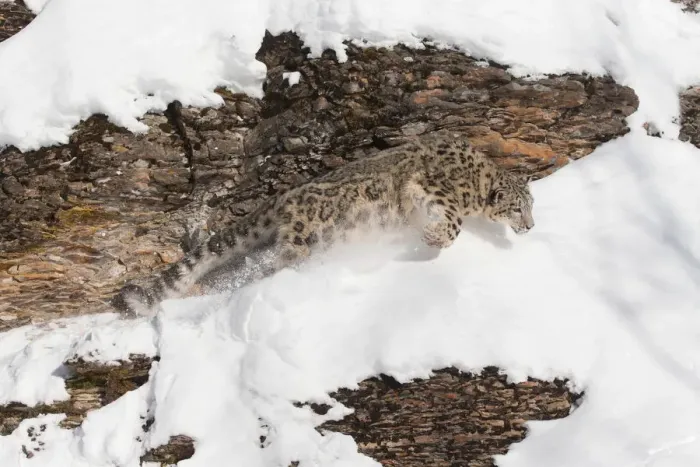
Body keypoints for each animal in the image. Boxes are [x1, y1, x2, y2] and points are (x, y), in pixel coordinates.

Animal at [111, 133, 535, 316]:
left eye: (532, 206)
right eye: (518, 209)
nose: (531, 226)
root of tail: (282, 199)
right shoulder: (435, 191)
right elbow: (454, 223)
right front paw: (431, 236)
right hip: (309, 238)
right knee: (279, 260)